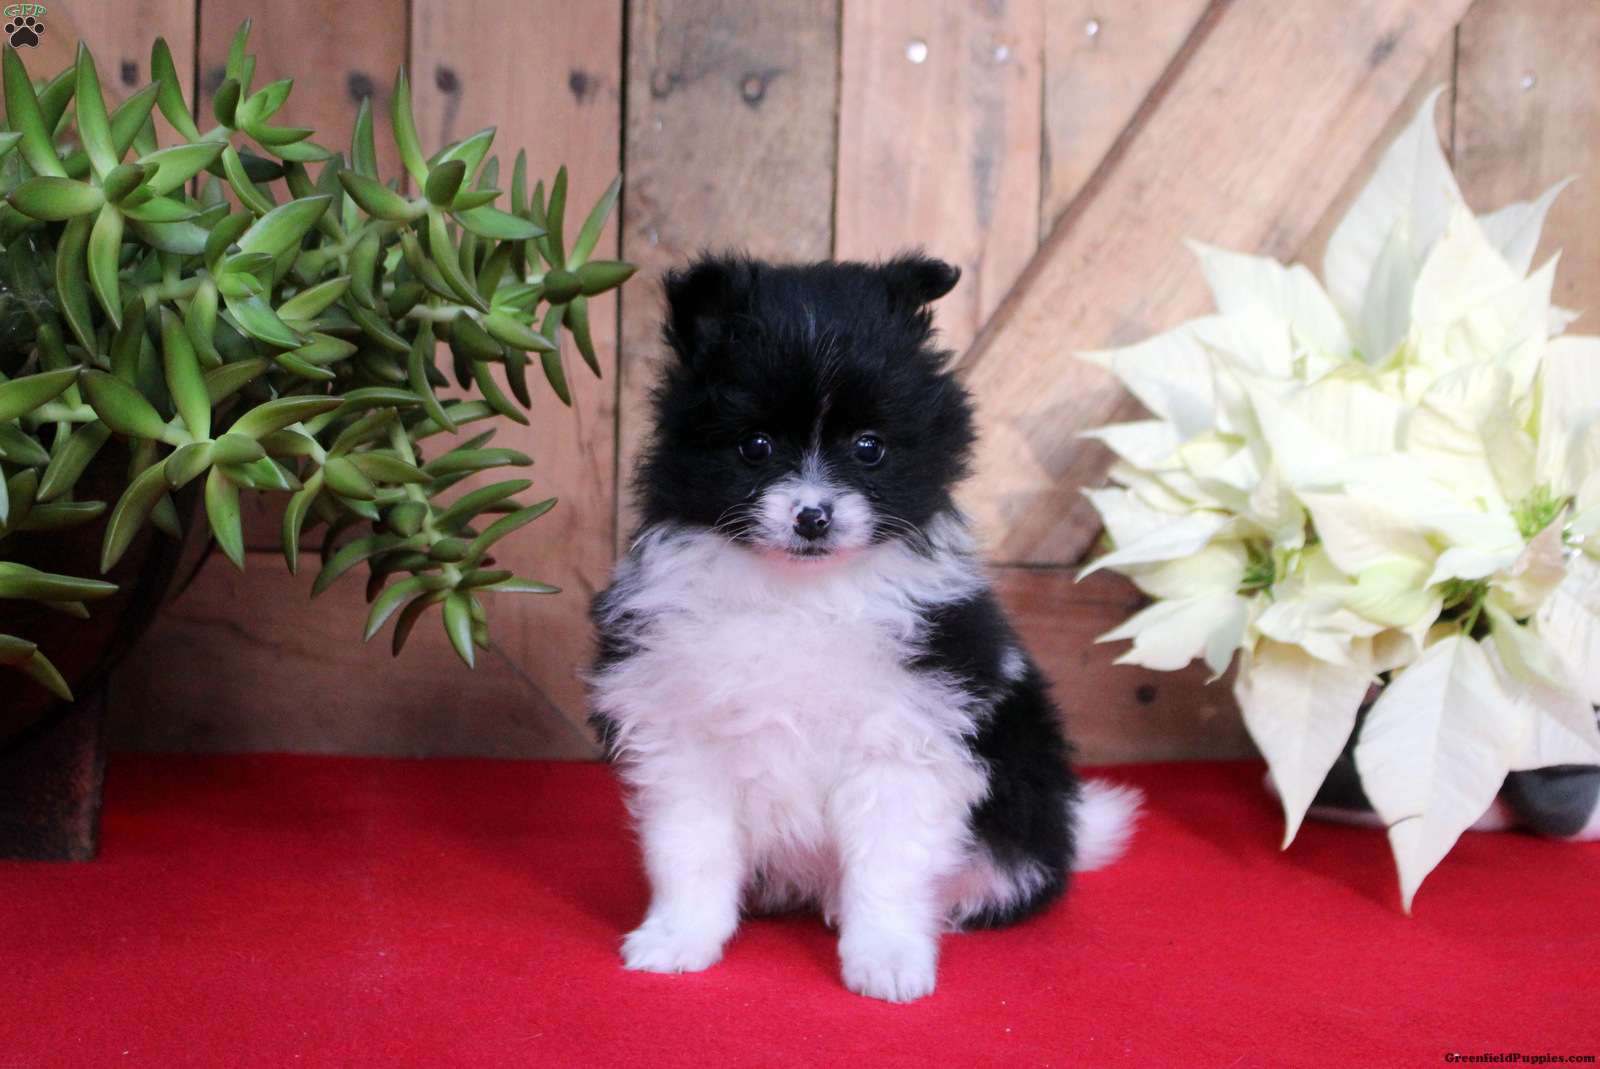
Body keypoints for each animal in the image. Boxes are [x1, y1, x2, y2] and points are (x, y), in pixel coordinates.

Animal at [588, 253, 1141, 1002]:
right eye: (755, 446)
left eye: (869, 448)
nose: (813, 516)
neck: (801, 594)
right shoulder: (685, 734)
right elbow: (691, 851)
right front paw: (678, 939)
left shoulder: (903, 740)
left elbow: (887, 867)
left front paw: (887, 957)